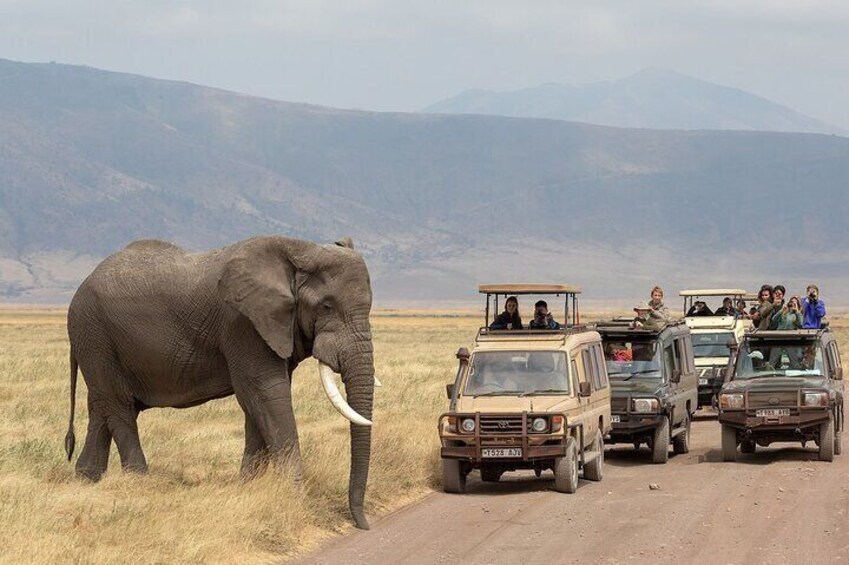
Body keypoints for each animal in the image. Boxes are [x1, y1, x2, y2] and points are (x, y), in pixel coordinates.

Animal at [64, 235, 376, 529]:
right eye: (326, 306)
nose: (362, 524)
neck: (302, 249)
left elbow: (260, 403)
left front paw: (248, 487)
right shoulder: (242, 323)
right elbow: (265, 392)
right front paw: (294, 497)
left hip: (97, 343)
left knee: (101, 408)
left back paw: (87, 477)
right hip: (94, 335)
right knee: (120, 408)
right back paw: (140, 481)